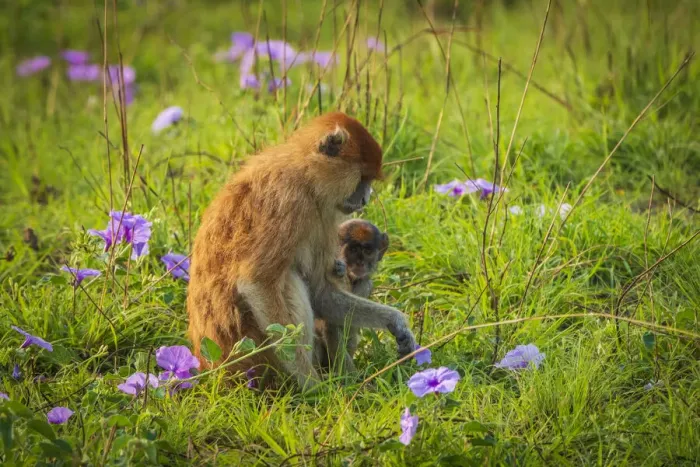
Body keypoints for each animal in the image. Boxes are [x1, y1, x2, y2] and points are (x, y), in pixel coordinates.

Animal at [186, 111, 416, 390]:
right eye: (361, 178)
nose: (365, 198)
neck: (305, 171)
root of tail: (213, 369)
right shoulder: (289, 201)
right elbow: (257, 282)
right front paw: (312, 385)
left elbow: (321, 292)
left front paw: (396, 323)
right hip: (252, 351)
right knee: (288, 281)